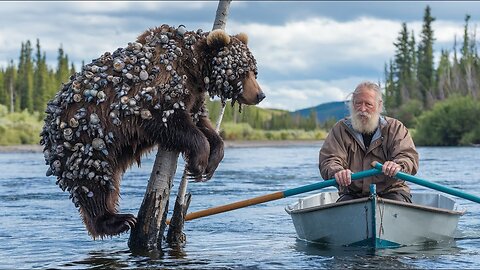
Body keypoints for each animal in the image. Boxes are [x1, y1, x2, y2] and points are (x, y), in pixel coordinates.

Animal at [40, 23, 266, 238]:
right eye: (243, 70)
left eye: (254, 70)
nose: (260, 94)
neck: (193, 69)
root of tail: (48, 121)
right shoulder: (154, 93)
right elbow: (172, 124)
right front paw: (198, 164)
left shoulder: (193, 95)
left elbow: (203, 124)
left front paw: (211, 162)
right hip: (85, 140)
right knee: (93, 183)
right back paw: (118, 220)